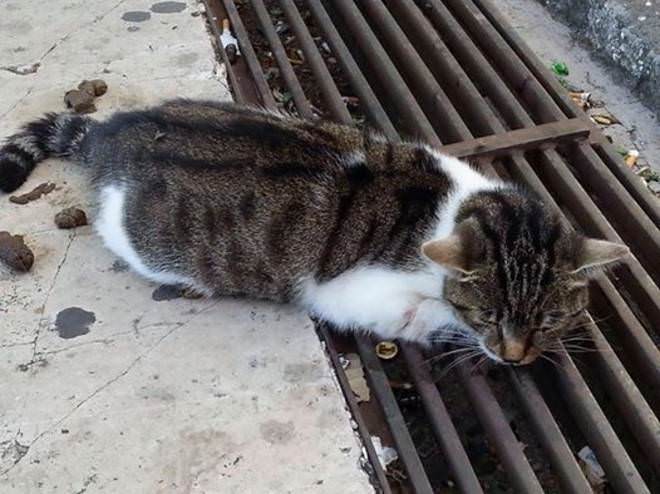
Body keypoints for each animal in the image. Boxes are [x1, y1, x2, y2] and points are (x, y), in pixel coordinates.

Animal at [0, 100, 628, 362]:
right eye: (491, 317)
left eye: (548, 316)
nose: (518, 357)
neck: (454, 202)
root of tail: (113, 132)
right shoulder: (357, 294)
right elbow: (426, 314)